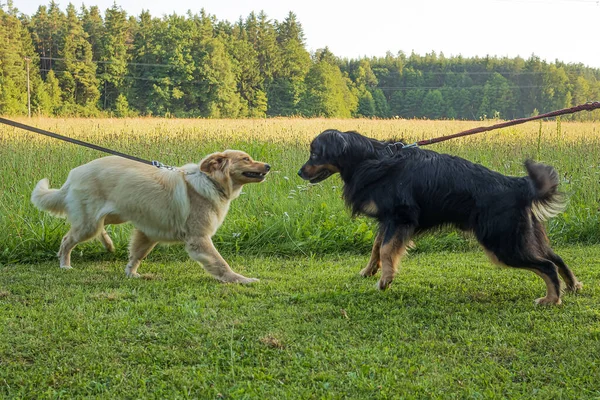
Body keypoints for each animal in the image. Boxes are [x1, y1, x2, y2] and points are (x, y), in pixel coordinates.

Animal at [30, 151, 270, 284]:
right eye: (246, 159)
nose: (268, 166)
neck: (210, 182)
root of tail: (73, 175)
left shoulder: (149, 233)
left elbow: (136, 255)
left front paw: (131, 274)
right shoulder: (199, 239)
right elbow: (221, 264)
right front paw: (241, 280)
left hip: (109, 216)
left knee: (99, 229)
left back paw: (108, 244)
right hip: (88, 224)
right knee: (67, 240)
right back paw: (65, 264)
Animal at [300, 130, 580, 304]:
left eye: (315, 154)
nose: (300, 172)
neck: (369, 159)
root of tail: (518, 184)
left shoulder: (401, 218)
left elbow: (387, 249)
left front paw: (385, 280)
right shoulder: (387, 220)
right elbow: (377, 247)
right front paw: (369, 271)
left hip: (502, 243)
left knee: (547, 265)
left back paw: (552, 299)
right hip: (521, 237)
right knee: (556, 258)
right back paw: (572, 286)